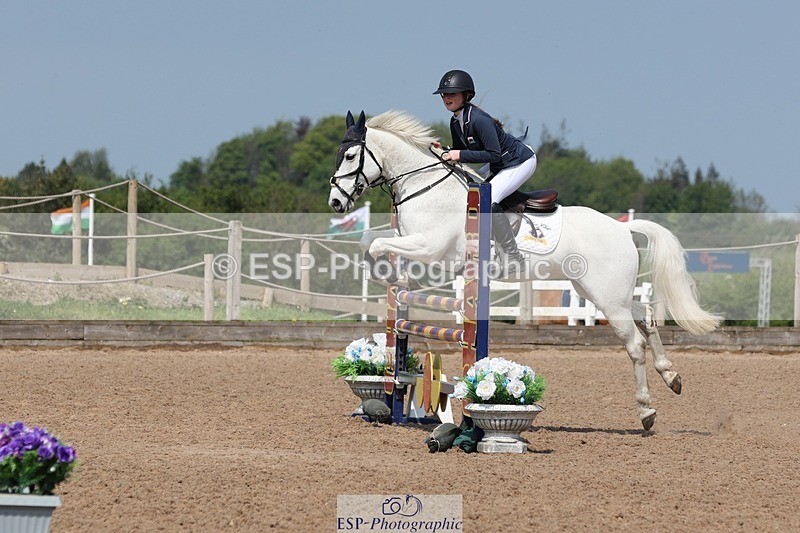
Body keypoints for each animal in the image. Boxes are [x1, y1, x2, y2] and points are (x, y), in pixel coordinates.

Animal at [328, 110, 722, 430]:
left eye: (349, 155)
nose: (335, 202)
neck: (425, 188)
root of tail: (622, 228)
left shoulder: (430, 246)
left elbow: (376, 246)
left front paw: (391, 275)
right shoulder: (411, 240)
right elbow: (369, 239)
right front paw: (395, 279)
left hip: (608, 298)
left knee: (634, 344)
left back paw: (646, 412)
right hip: (602, 292)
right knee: (647, 316)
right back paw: (672, 377)